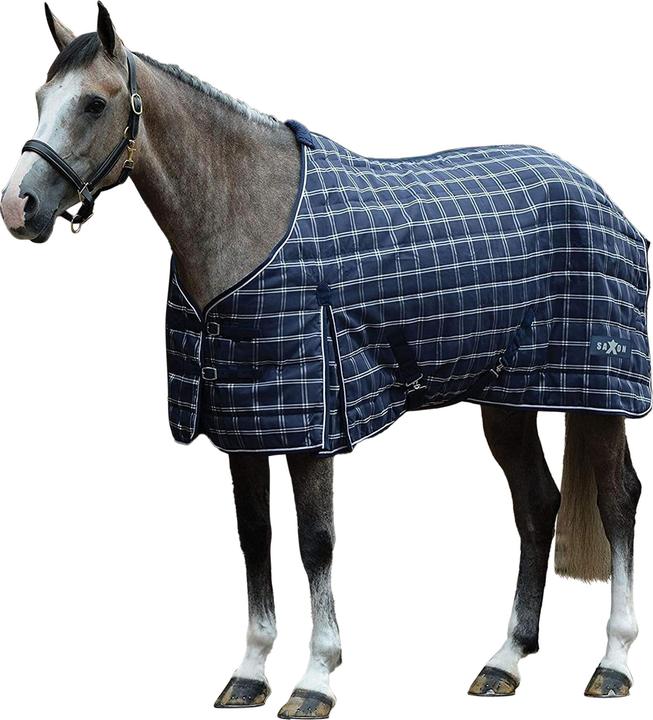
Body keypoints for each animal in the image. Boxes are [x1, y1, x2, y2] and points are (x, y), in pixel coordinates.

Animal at [1, 3, 646, 716]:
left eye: (92, 103)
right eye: (39, 98)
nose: (18, 206)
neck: (249, 220)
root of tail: (597, 192)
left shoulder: (313, 420)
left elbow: (316, 542)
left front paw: (316, 676)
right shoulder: (247, 422)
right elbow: (254, 536)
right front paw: (250, 672)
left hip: (599, 391)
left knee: (617, 500)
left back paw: (613, 662)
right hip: (508, 397)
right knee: (536, 504)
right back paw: (505, 660)